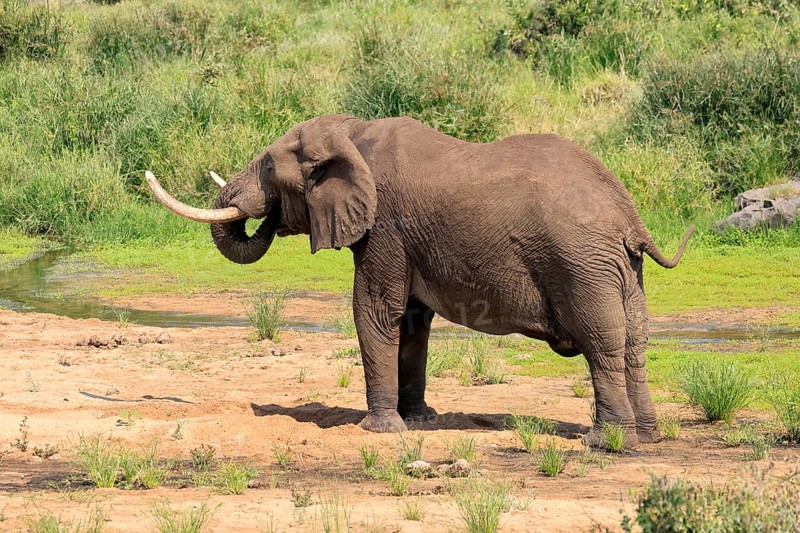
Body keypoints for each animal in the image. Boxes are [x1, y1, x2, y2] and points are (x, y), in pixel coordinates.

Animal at [147, 114, 693, 447]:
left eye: (266, 166)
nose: (267, 216)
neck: (351, 131)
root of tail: (629, 217)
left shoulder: (384, 223)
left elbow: (374, 310)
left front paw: (379, 431)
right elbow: (411, 322)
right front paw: (419, 421)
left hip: (582, 264)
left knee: (602, 341)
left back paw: (607, 443)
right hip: (621, 269)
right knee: (635, 341)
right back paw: (647, 437)